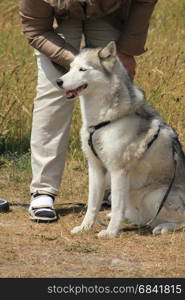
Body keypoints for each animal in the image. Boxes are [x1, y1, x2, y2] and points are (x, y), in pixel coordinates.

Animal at [56, 41, 185, 237]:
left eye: (82, 69)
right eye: (70, 68)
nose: (58, 81)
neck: (100, 122)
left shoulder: (118, 171)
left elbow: (117, 206)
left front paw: (110, 233)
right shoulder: (95, 168)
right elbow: (92, 205)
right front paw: (85, 227)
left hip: (155, 196)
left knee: (180, 219)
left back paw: (162, 227)